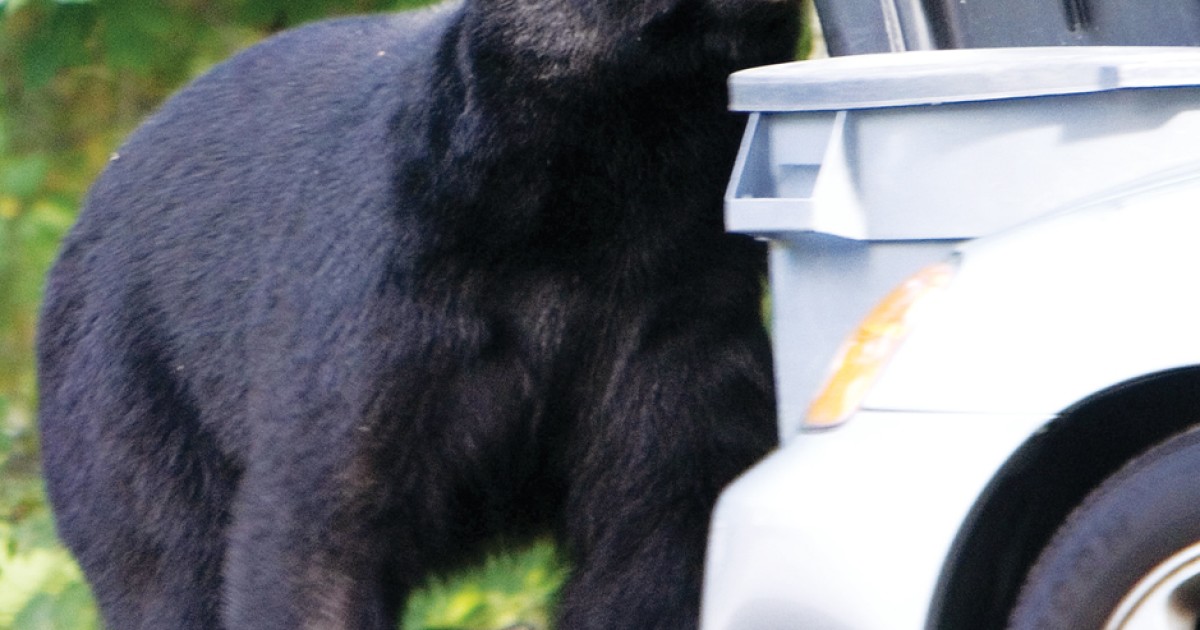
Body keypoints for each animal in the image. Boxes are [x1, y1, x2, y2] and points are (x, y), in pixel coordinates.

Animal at [35, 0, 800, 628]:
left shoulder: (672, 313)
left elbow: (655, 536)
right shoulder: (395, 297)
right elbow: (319, 530)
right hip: (130, 395)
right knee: (163, 562)